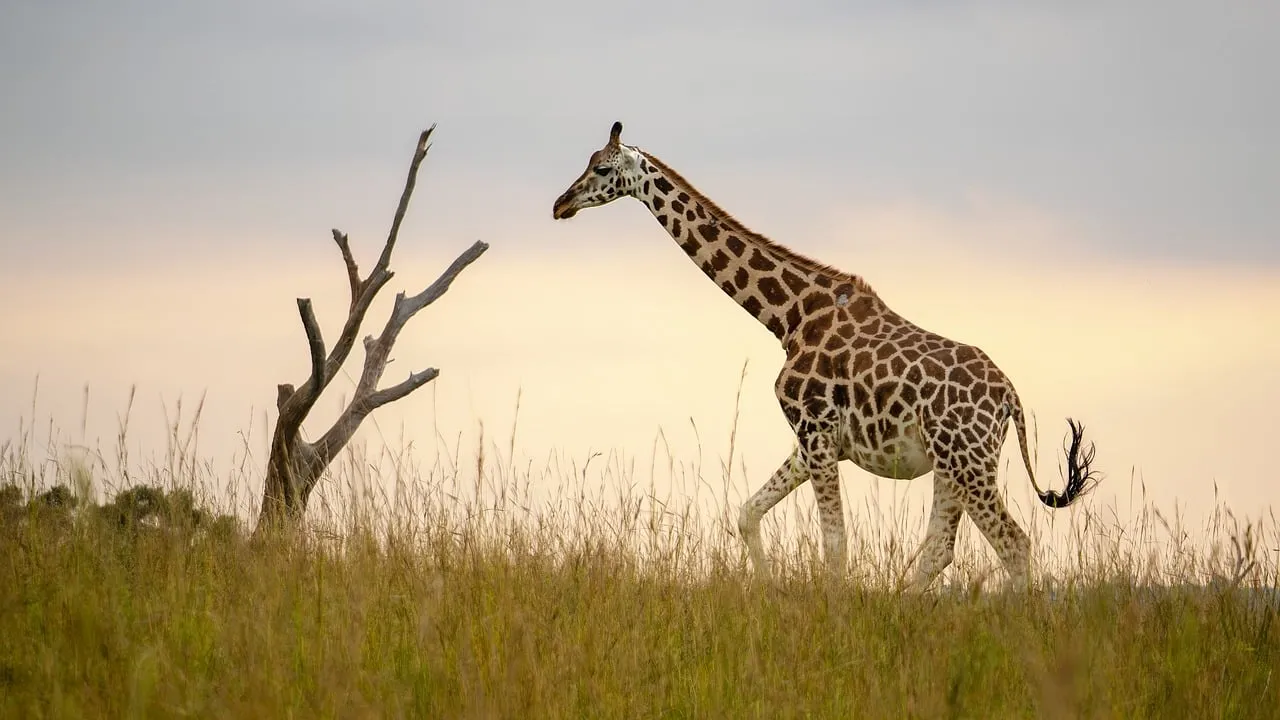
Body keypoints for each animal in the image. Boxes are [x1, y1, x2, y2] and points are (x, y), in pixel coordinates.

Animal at [551, 122, 1101, 590]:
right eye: (588, 162)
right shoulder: (814, 439)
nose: (560, 204)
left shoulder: (815, 430)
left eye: (602, 170)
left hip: (968, 460)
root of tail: (1010, 397)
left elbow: (833, 541)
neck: (788, 317)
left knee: (1013, 543)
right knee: (941, 547)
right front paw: (770, 591)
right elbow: (748, 513)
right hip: (952, 463)